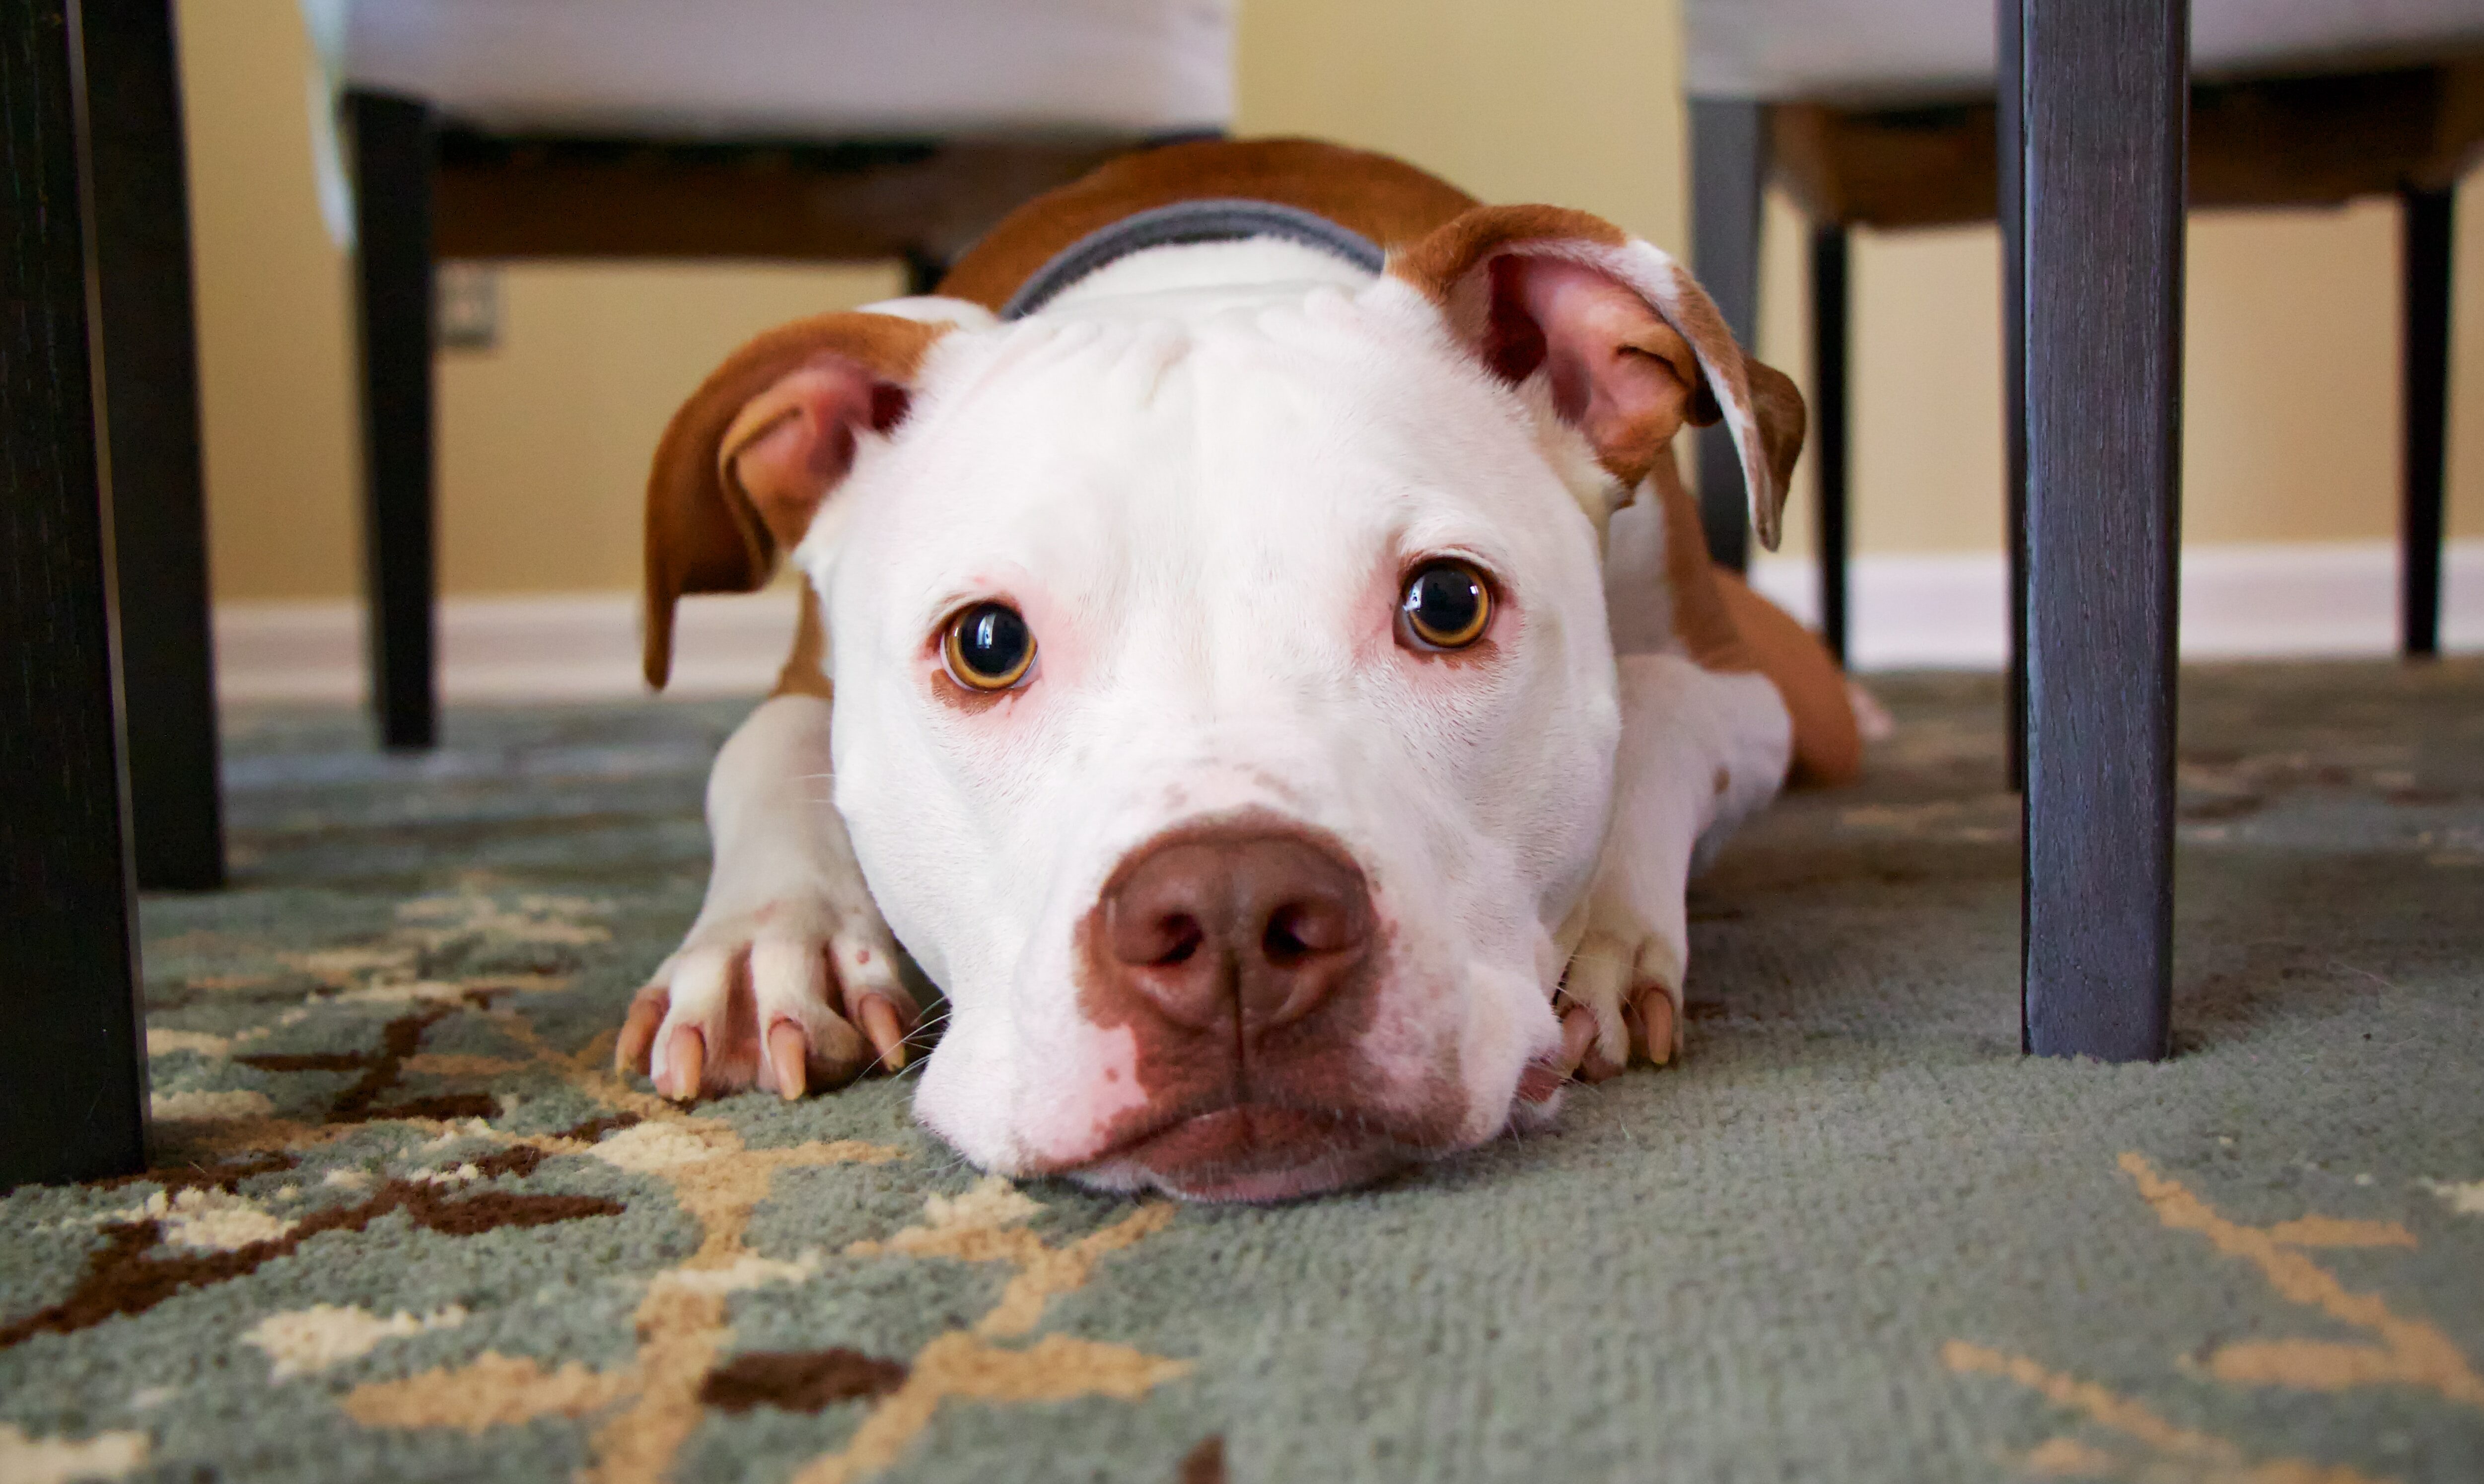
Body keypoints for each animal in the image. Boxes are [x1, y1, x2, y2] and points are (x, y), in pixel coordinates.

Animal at [621, 136, 1868, 1203]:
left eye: (1447, 603)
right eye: (985, 645)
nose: (1229, 915)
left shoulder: (1742, 692)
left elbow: (1658, 704)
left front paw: (1602, 932)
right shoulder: (806, 681)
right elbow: (759, 745)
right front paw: (767, 946)